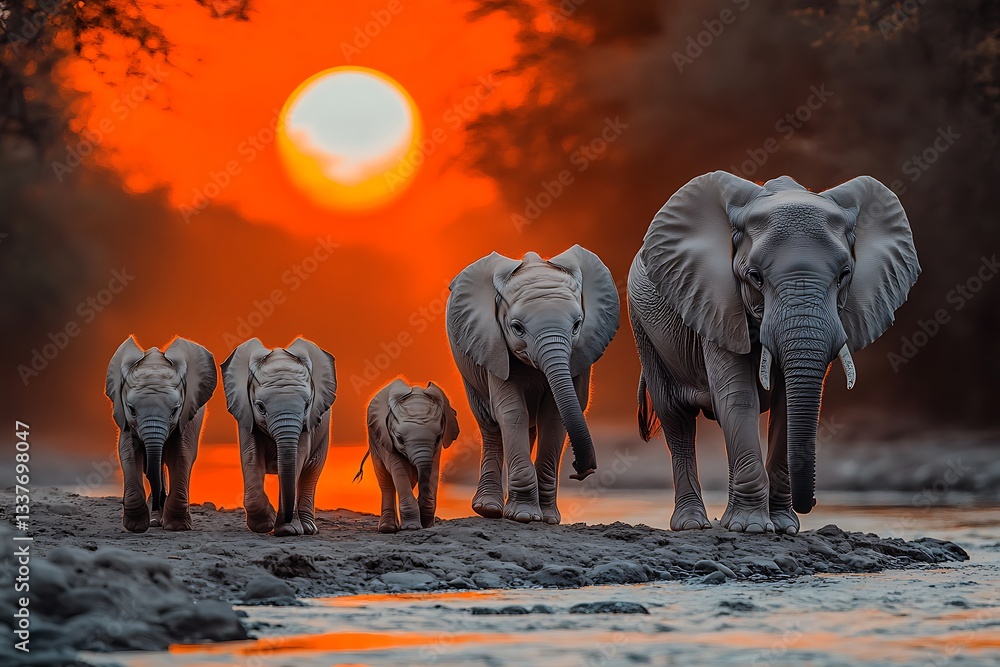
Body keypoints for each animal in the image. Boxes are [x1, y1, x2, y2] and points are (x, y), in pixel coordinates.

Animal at [105, 336, 217, 533]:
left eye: (174, 410)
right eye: (131, 409)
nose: (158, 503)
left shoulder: (187, 415)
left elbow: (181, 455)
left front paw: (176, 526)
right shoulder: (124, 418)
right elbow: (129, 454)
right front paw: (136, 526)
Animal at [221, 337, 336, 536]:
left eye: (307, 405)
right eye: (260, 407)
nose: (288, 519)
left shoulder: (309, 422)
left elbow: (298, 461)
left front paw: (288, 530)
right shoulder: (245, 415)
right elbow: (251, 457)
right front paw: (265, 524)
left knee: (311, 472)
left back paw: (308, 528)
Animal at [354, 379, 460, 533]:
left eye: (438, 438)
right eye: (399, 439)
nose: (427, 523)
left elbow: (433, 468)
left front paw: (425, 523)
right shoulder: (386, 438)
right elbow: (399, 470)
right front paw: (411, 527)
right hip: (374, 441)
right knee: (386, 481)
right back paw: (388, 528)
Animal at [446, 245, 620, 524]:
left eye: (577, 325)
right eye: (517, 328)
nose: (579, 470)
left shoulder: (581, 354)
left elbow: (554, 415)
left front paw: (547, 518)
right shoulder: (493, 347)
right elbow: (511, 411)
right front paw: (524, 516)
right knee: (491, 426)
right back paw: (489, 509)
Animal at [628, 172, 919, 533]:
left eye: (844, 275)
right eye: (755, 277)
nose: (813, 503)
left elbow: (783, 405)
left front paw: (781, 527)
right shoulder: (715, 301)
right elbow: (738, 398)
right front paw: (751, 528)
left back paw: (725, 521)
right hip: (644, 328)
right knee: (675, 417)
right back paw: (694, 524)